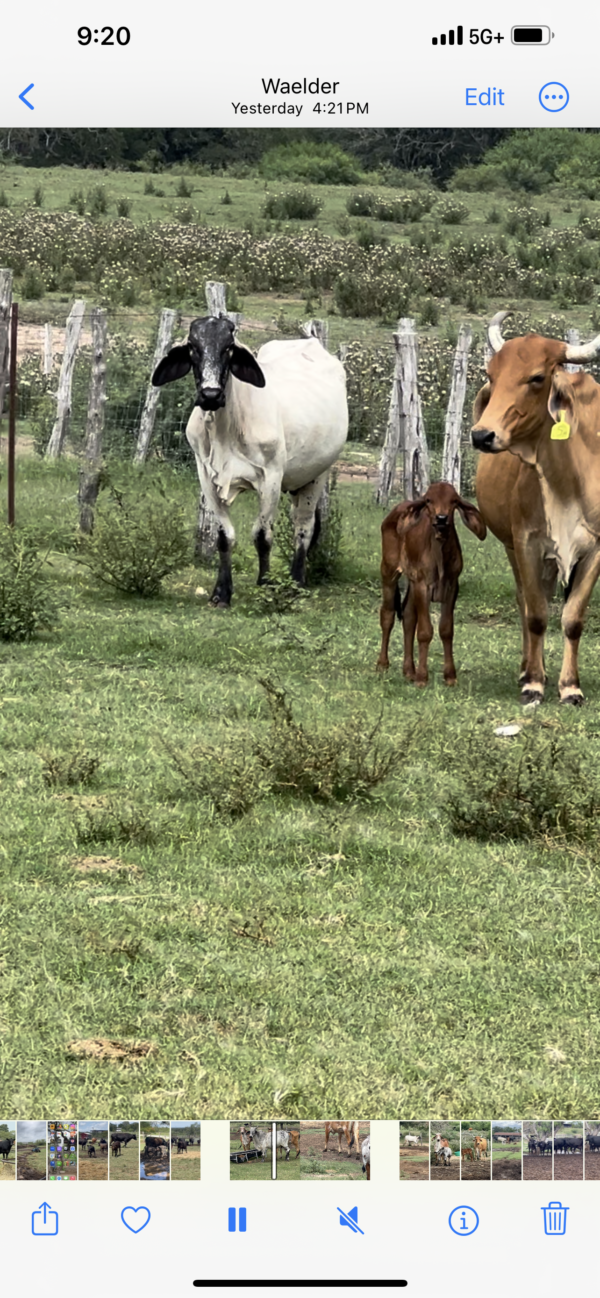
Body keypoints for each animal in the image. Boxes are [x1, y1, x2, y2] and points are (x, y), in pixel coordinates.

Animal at [151, 321, 348, 610]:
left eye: (229, 348)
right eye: (193, 347)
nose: (210, 395)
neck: (227, 429)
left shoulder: (271, 479)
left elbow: (262, 536)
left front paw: (265, 585)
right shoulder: (206, 479)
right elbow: (224, 537)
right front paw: (221, 593)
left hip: (317, 475)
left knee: (303, 527)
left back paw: (297, 582)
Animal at [376, 485, 485, 690]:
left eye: (454, 501)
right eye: (428, 500)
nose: (441, 518)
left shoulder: (452, 586)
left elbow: (446, 630)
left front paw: (450, 676)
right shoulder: (422, 585)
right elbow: (425, 631)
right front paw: (422, 678)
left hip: (411, 581)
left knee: (408, 616)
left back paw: (409, 670)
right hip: (389, 571)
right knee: (387, 614)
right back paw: (383, 664)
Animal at [470, 310, 600, 706]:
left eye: (537, 378)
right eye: (491, 375)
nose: (482, 435)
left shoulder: (596, 550)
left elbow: (573, 618)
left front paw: (570, 687)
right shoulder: (526, 542)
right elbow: (537, 614)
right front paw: (534, 682)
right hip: (513, 547)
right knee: (525, 602)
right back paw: (527, 668)